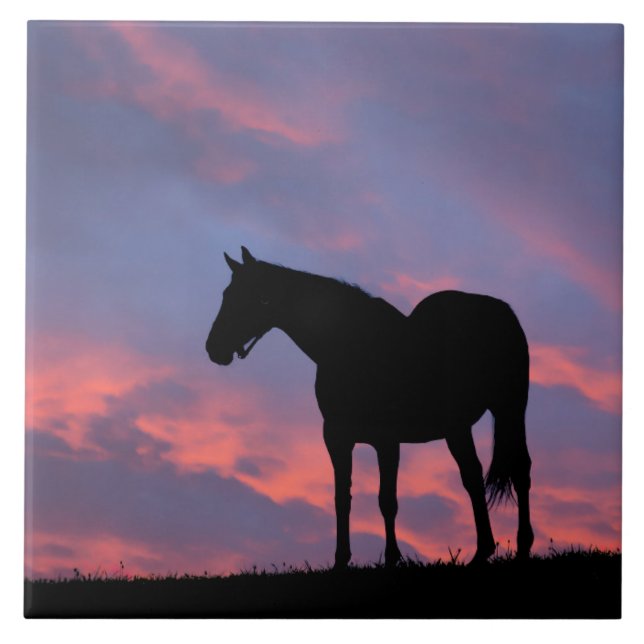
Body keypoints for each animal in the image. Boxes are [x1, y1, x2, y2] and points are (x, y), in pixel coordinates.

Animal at [206, 246, 534, 568]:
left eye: (254, 297)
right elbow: (341, 498)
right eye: (226, 294)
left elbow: (387, 500)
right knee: (473, 476)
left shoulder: (387, 440)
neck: (352, 347)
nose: (213, 348)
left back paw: (521, 548)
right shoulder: (336, 437)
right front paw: (340, 561)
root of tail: (501, 310)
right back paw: (483, 552)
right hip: (459, 427)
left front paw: (391, 559)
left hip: (509, 410)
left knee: (518, 470)